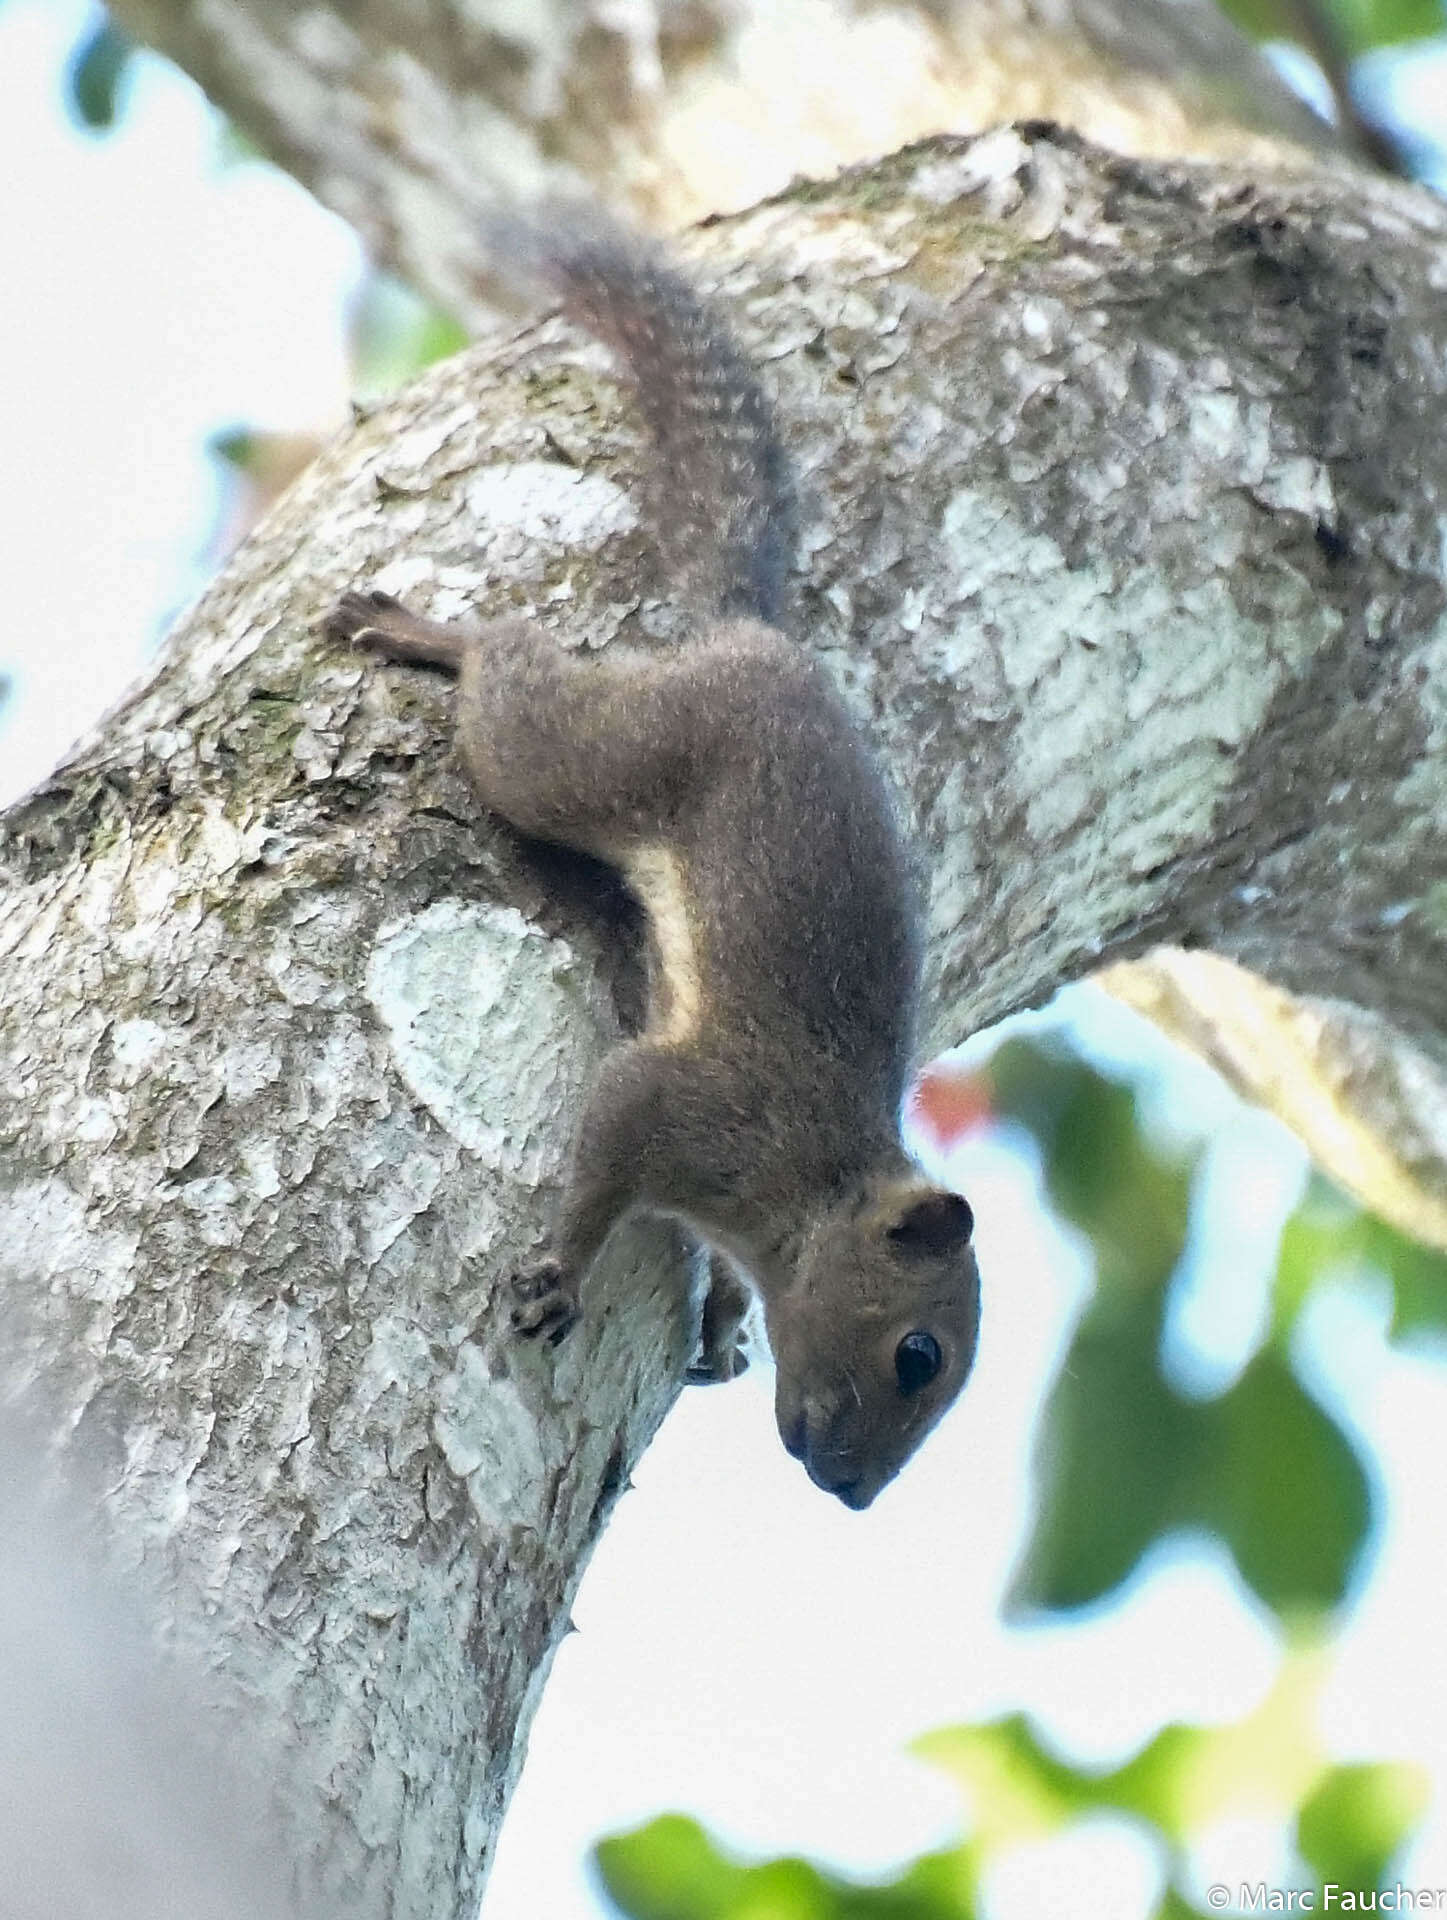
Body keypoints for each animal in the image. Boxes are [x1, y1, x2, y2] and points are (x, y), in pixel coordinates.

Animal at [326, 217, 982, 1505]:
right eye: (918, 1354)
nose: (852, 1493)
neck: (817, 1187)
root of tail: (750, 637)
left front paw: (724, 1322)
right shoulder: (700, 1110)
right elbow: (608, 1146)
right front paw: (561, 1273)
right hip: (595, 757)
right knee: (515, 680)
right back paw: (428, 632)